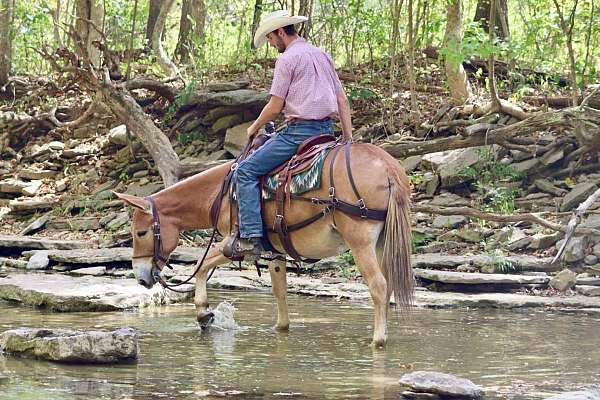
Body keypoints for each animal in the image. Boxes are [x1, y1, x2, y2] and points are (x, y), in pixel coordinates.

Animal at [113, 142, 412, 346]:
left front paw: (203, 312)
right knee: (388, 286)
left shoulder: (233, 245)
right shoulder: (275, 252)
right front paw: (280, 328)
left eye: (140, 233)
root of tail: (387, 168)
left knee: (378, 285)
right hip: (383, 243)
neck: (219, 194)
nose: (141, 277)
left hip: (360, 242)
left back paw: (378, 340)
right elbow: (279, 292)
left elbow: (201, 264)